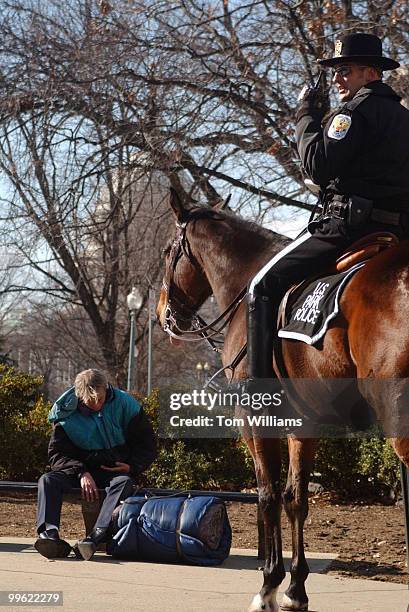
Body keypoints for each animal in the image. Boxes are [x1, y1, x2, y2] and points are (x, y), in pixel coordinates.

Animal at [156, 189, 408, 608]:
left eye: (165, 251)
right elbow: (296, 498)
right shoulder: (302, 423)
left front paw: (269, 585)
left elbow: (268, 494)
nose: (164, 314)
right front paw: (295, 588)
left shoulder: (256, 419)